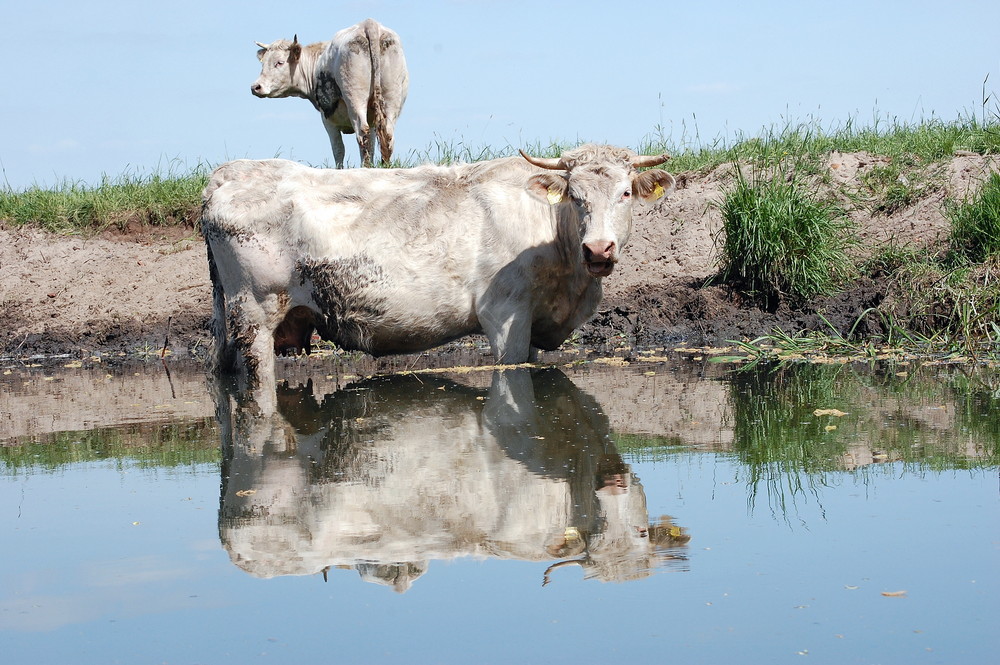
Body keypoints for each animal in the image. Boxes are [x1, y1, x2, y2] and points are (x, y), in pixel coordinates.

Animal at [199, 143, 676, 408]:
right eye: (575, 196)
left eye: (626, 193)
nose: (598, 249)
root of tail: (229, 173)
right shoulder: (505, 316)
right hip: (254, 311)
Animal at [252, 19, 408, 169]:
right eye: (263, 63)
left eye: (279, 62)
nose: (255, 87)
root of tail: (369, 23)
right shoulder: (373, 121)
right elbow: (372, 145)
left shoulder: (328, 119)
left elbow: (338, 149)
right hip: (391, 99)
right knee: (387, 136)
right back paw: (385, 166)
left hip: (355, 99)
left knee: (362, 133)